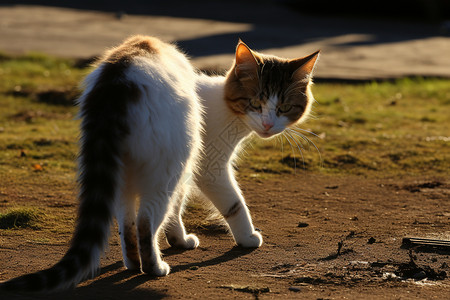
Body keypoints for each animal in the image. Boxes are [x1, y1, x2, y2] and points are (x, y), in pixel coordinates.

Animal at [1, 34, 320, 290]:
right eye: (255, 103)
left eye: (284, 108)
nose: (267, 125)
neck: (226, 108)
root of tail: (118, 78)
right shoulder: (207, 165)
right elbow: (233, 203)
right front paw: (247, 237)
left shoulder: (185, 172)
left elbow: (175, 210)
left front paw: (178, 239)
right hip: (169, 163)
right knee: (144, 221)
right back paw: (154, 268)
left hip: (127, 170)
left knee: (127, 220)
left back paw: (133, 262)